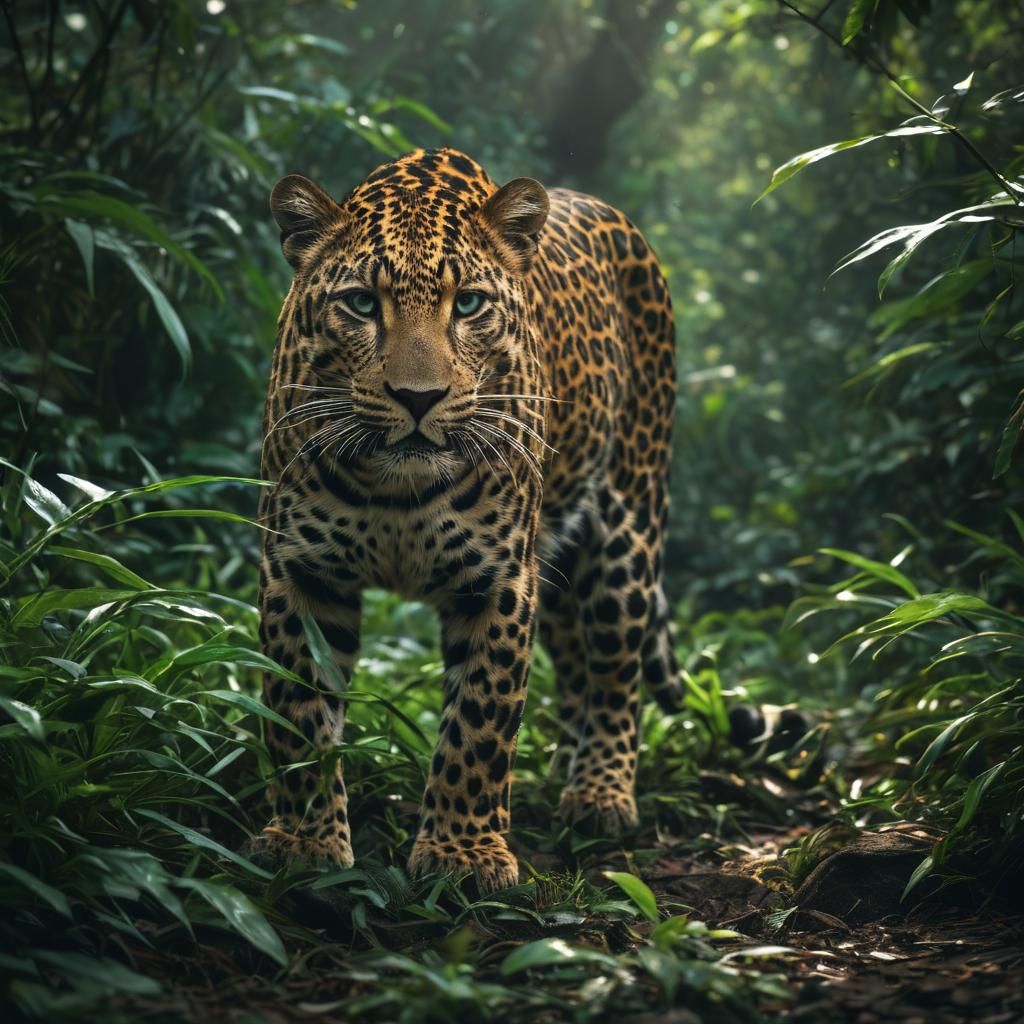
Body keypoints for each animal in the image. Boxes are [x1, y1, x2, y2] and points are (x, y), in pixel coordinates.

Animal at [254, 146, 680, 893]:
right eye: (361, 303)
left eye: (470, 304)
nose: (418, 398)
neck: (394, 486)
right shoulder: (300, 571)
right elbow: (299, 712)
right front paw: (307, 843)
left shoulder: (501, 579)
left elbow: (480, 723)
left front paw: (463, 856)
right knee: (574, 658)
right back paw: (563, 765)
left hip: (628, 522)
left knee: (614, 666)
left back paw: (600, 792)